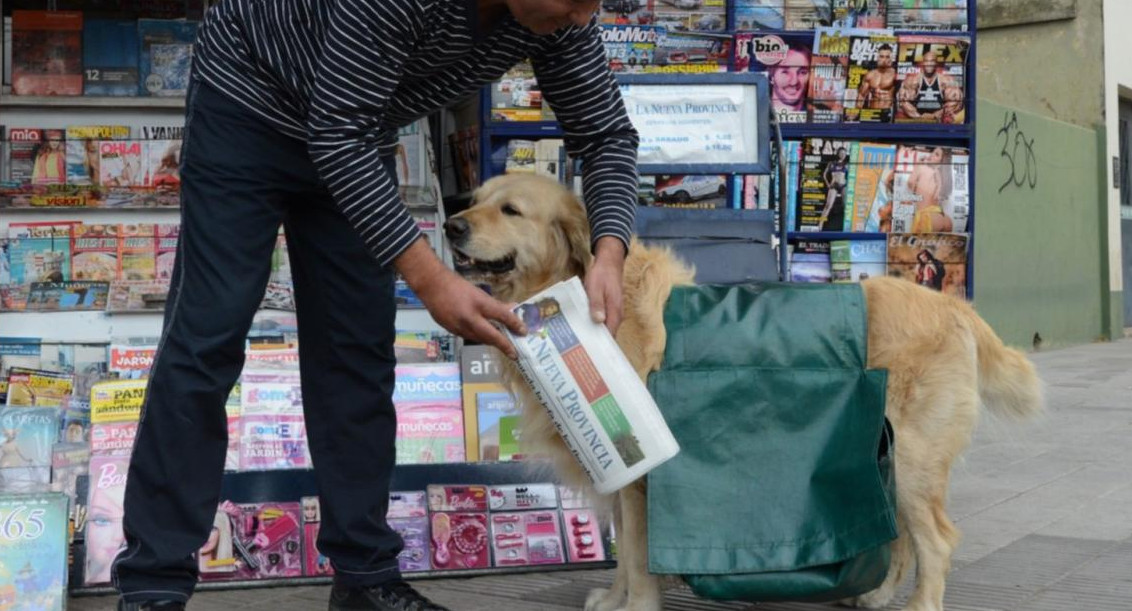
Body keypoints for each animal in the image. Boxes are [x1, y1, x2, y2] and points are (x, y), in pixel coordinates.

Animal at [441, 171, 1041, 611]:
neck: (575, 293)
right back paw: (876, 595)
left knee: (935, 541)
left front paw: (635, 605)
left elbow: (635, 555)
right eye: (476, 200)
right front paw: (612, 600)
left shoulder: (642, 475)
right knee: (899, 536)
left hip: (915, 458)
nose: (449, 226)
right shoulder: (622, 473)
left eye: (511, 210)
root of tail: (955, 307)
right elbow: (622, 552)